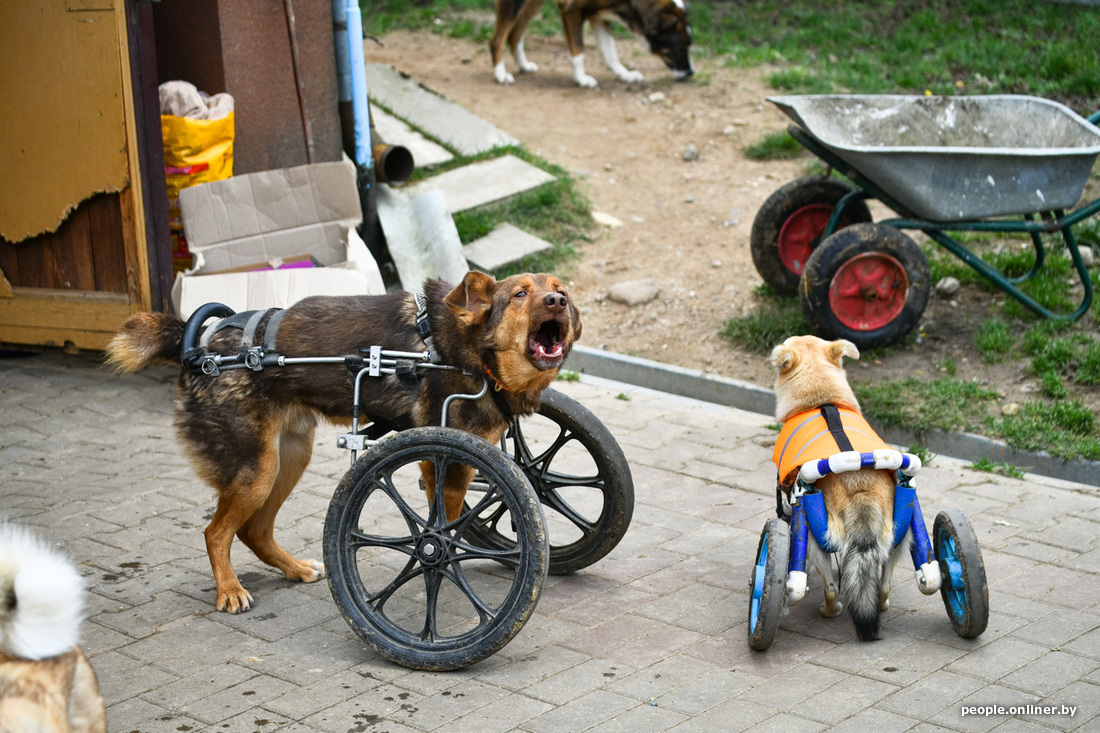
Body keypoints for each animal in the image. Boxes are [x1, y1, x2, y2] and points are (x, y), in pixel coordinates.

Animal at [106, 268, 580, 611]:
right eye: (519, 295)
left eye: (560, 292)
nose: (557, 302)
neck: (467, 348)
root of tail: (200, 343)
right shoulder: (441, 459)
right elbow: (441, 524)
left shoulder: (463, 462)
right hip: (255, 471)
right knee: (216, 532)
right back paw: (229, 590)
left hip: (288, 459)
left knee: (253, 530)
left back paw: (295, 569)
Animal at [492, 0, 690, 86]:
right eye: (679, 48)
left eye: (689, 46)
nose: (690, 73)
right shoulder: (572, 11)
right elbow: (579, 52)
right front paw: (581, 78)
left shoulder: (599, 17)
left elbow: (611, 54)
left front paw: (625, 75)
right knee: (497, 40)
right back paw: (500, 74)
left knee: (514, 36)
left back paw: (524, 65)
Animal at [770, 334, 906, 638]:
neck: (823, 401)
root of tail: (860, 490)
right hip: (902, 536)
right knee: (884, 585)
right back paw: (880, 602)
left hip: (813, 538)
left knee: (831, 590)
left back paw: (829, 610)